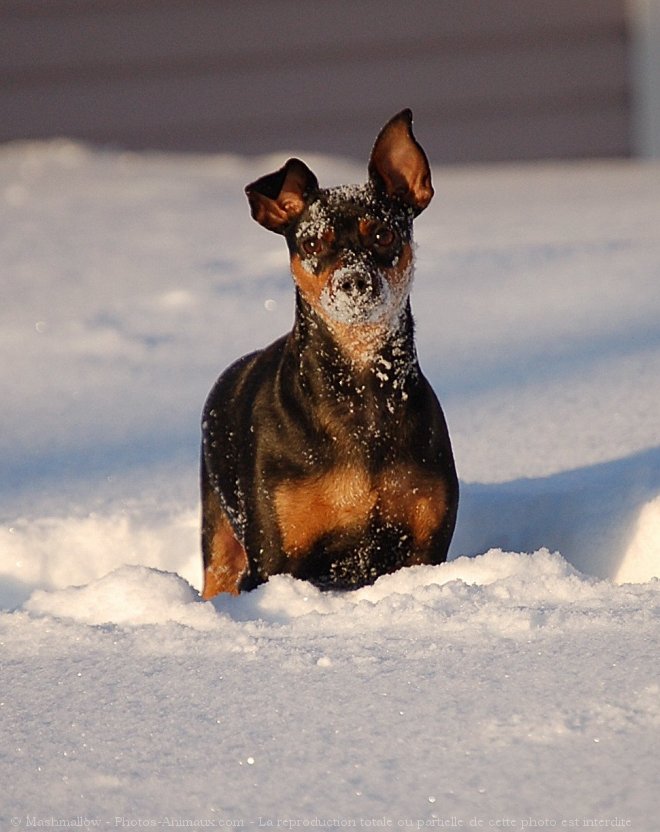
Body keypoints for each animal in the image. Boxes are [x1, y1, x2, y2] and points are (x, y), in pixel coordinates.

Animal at [201, 110, 458, 600]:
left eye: (383, 233)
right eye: (312, 244)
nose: (353, 282)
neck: (363, 388)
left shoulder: (425, 545)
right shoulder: (274, 560)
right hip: (220, 537)